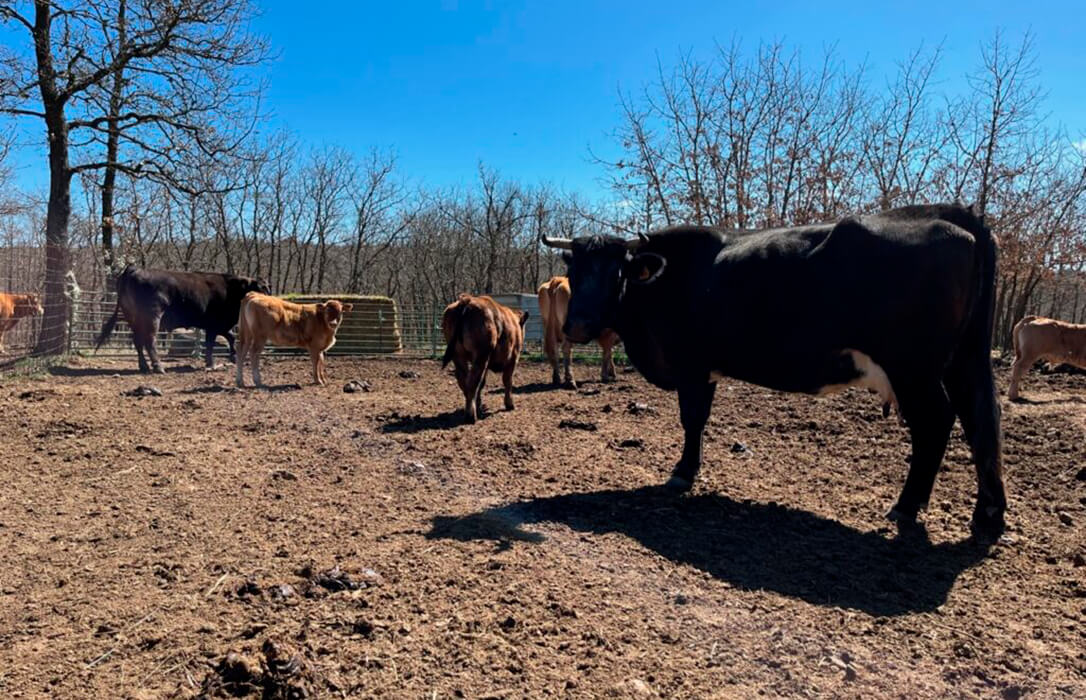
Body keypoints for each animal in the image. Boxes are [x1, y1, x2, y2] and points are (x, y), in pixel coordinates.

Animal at [96, 264, 270, 371]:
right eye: (262, 288)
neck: (231, 291)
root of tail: (133, 269)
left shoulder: (217, 326)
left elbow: (229, 337)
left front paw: (232, 357)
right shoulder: (214, 325)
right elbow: (212, 343)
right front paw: (212, 363)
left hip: (133, 318)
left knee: (138, 341)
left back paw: (144, 366)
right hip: (152, 317)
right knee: (149, 340)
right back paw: (158, 366)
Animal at [438, 293, 527, 423]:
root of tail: (467, 300)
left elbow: (482, 383)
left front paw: (479, 404)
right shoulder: (513, 359)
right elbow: (508, 381)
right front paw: (509, 404)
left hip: (459, 356)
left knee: (464, 381)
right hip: (481, 357)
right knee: (472, 382)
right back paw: (471, 416)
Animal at [547, 201, 1003, 536]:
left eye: (616, 271)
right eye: (574, 270)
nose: (578, 324)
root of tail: (955, 215)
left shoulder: (692, 365)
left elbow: (691, 418)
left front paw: (682, 473)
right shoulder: (707, 369)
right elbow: (700, 420)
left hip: (914, 370)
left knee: (938, 422)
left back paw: (907, 506)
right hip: (965, 359)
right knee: (982, 419)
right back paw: (988, 516)